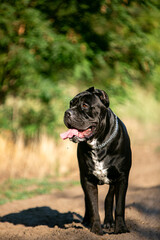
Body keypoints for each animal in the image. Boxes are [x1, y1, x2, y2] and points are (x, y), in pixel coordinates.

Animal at [60, 87, 132, 235]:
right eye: (71, 104)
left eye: (85, 105)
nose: (67, 112)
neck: (98, 145)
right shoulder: (87, 179)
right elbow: (93, 205)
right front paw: (96, 230)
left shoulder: (122, 178)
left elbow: (119, 206)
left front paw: (120, 228)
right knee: (87, 201)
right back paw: (87, 221)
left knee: (109, 197)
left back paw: (109, 222)